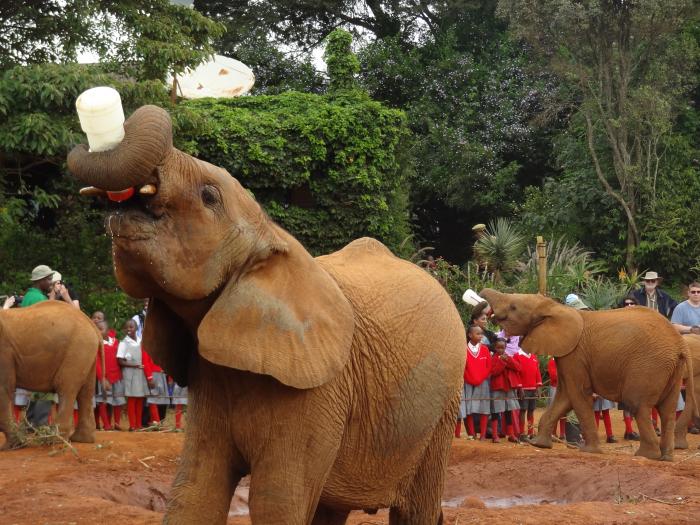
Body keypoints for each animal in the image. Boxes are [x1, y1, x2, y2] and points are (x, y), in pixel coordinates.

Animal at [0, 300, 102, 448]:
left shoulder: (4, 352)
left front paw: (13, 446)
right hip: (86, 353)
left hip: (77, 350)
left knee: (66, 388)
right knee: (85, 392)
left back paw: (54, 439)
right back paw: (81, 439)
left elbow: (3, 389)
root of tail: (91, 324)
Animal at [68, 103, 468, 524]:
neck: (269, 235)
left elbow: (277, 500)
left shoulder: (317, 390)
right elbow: (194, 492)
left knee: (415, 507)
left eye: (208, 196)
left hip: (442, 409)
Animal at [482, 286, 700, 462]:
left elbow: (577, 395)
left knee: (638, 405)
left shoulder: (575, 354)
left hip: (649, 365)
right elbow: (564, 396)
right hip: (671, 369)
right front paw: (539, 444)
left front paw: (588, 451)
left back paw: (647, 455)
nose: (483, 303)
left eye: (513, 307)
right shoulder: (569, 356)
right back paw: (666, 457)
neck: (555, 307)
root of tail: (680, 344)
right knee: (667, 410)